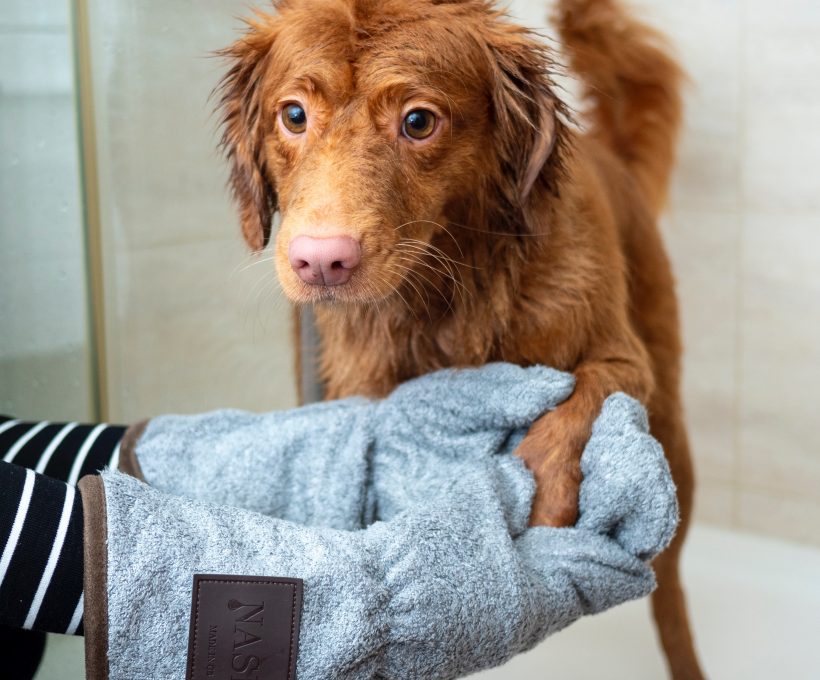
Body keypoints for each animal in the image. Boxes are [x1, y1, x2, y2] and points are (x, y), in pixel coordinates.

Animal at [218, 2, 704, 676]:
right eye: (293, 116)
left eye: (418, 122)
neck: (445, 299)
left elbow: (581, 398)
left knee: (674, 589)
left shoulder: (623, 358)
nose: (321, 262)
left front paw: (543, 494)